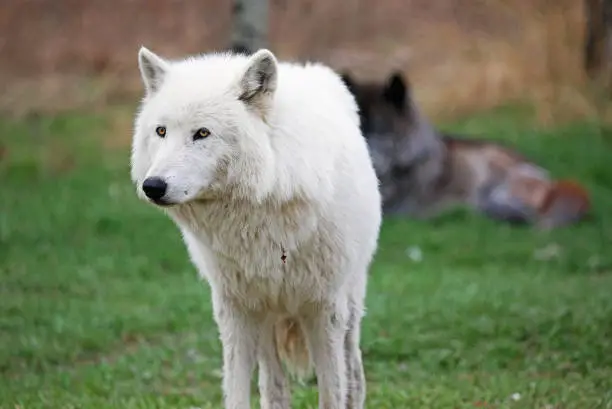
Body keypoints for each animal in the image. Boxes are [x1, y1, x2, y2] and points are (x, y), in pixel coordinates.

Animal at [131, 46, 380, 408]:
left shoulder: (323, 310)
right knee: (273, 389)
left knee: (355, 379)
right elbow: (237, 392)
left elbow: (333, 392)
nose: (152, 186)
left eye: (202, 133)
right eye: (161, 131)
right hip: (265, 320)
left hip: (349, 306)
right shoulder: (235, 310)